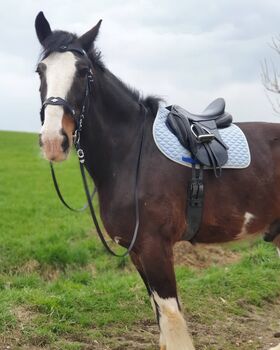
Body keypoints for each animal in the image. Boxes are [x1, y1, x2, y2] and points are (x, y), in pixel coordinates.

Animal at [34, 10, 280, 350]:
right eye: (40, 70)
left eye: (83, 72)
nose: (53, 142)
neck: (130, 152)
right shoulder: (138, 252)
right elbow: (162, 321)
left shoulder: (155, 249)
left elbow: (172, 324)